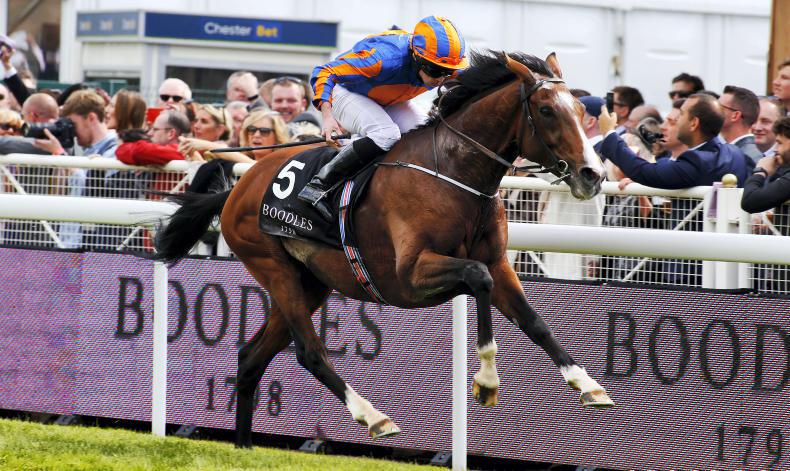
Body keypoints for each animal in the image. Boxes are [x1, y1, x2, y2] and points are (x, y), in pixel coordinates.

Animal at [154, 50, 613, 448]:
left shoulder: (499, 263)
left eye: (580, 109)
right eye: (547, 110)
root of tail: (237, 188)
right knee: (309, 352)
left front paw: (589, 385)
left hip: (310, 282)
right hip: (273, 267)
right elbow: (476, 278)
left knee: (251, 357)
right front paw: (486, 383)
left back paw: (246, 447)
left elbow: (535, 322)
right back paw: (373, 416)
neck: (454, 173)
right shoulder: (411, 276)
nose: (593, 174)